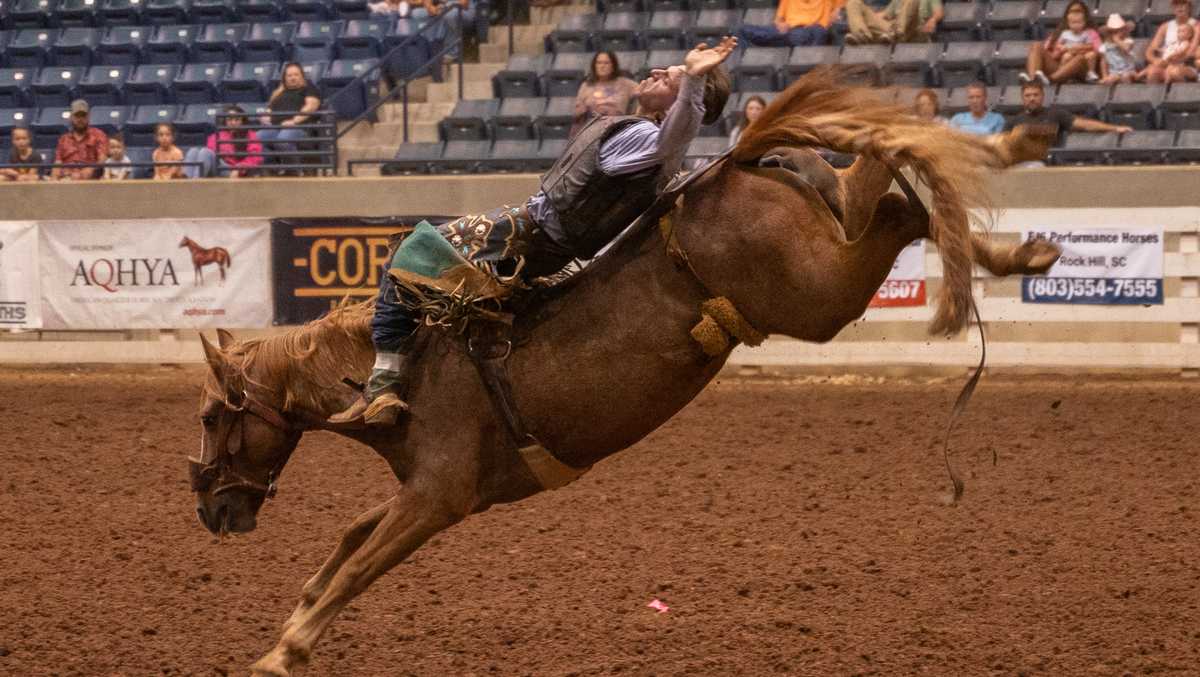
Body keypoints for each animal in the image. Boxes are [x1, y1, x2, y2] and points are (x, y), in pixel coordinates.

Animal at [184, 70, 1060, 677]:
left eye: (211, 416)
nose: (212, 511)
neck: (409, 367)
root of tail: (733, 164)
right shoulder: (435, 490)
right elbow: (350, 536)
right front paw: (295, 611)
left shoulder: (437, 497)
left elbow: (362, 561)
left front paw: (286, 647)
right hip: (824, 248)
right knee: (886, 197)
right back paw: (1018, 236)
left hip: (817, 294)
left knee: (894, 199)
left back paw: (994, 165)